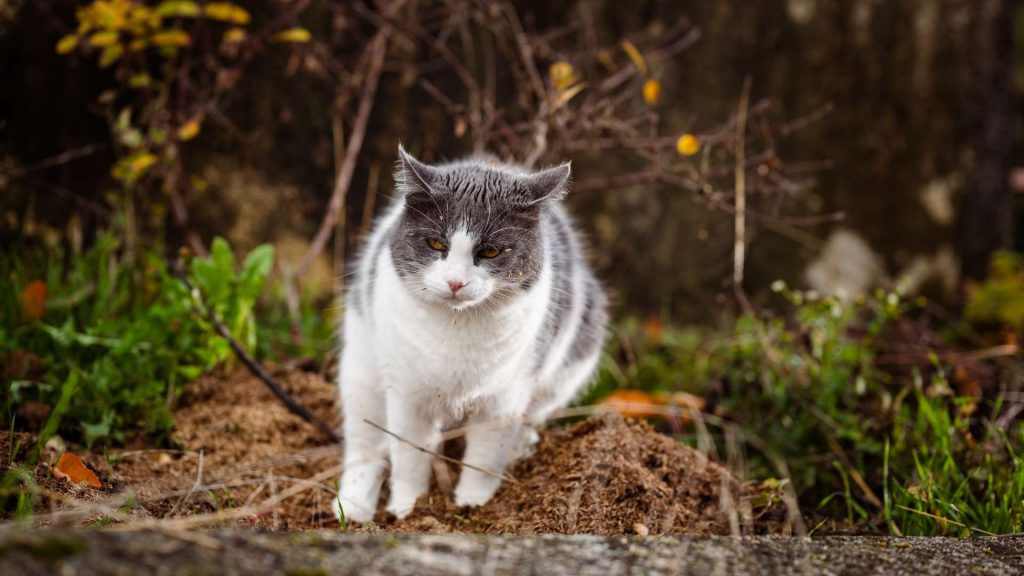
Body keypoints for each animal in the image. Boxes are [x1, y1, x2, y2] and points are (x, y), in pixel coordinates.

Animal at [335, 144, 606, 520]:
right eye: (436, 244)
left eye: (491, 251)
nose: (455, 282)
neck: (457, 327)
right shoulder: (407, 396)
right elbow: (409, 456)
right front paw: (408, 508)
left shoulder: (504, 400)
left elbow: (485, 460)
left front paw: (472, 505)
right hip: (361, 371)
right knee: (364, 443)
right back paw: (353, 506)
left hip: (569, 365)